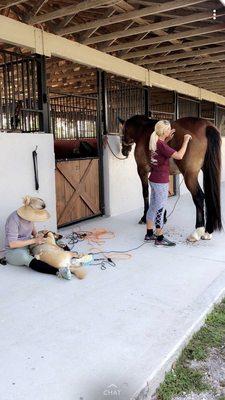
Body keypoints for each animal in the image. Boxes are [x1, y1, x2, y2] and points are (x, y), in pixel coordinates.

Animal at [119, 114, 221, 242]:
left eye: (122, 132)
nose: (124, 151)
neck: (142, 130)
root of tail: (206, 126)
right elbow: (162, 194)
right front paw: (163, 216)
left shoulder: (142, 170)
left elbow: (146, 193)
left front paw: (144, 217)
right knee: (208, 197)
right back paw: (207, 232)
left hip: (190, 176)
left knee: (198, 197)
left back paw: (197, 232)